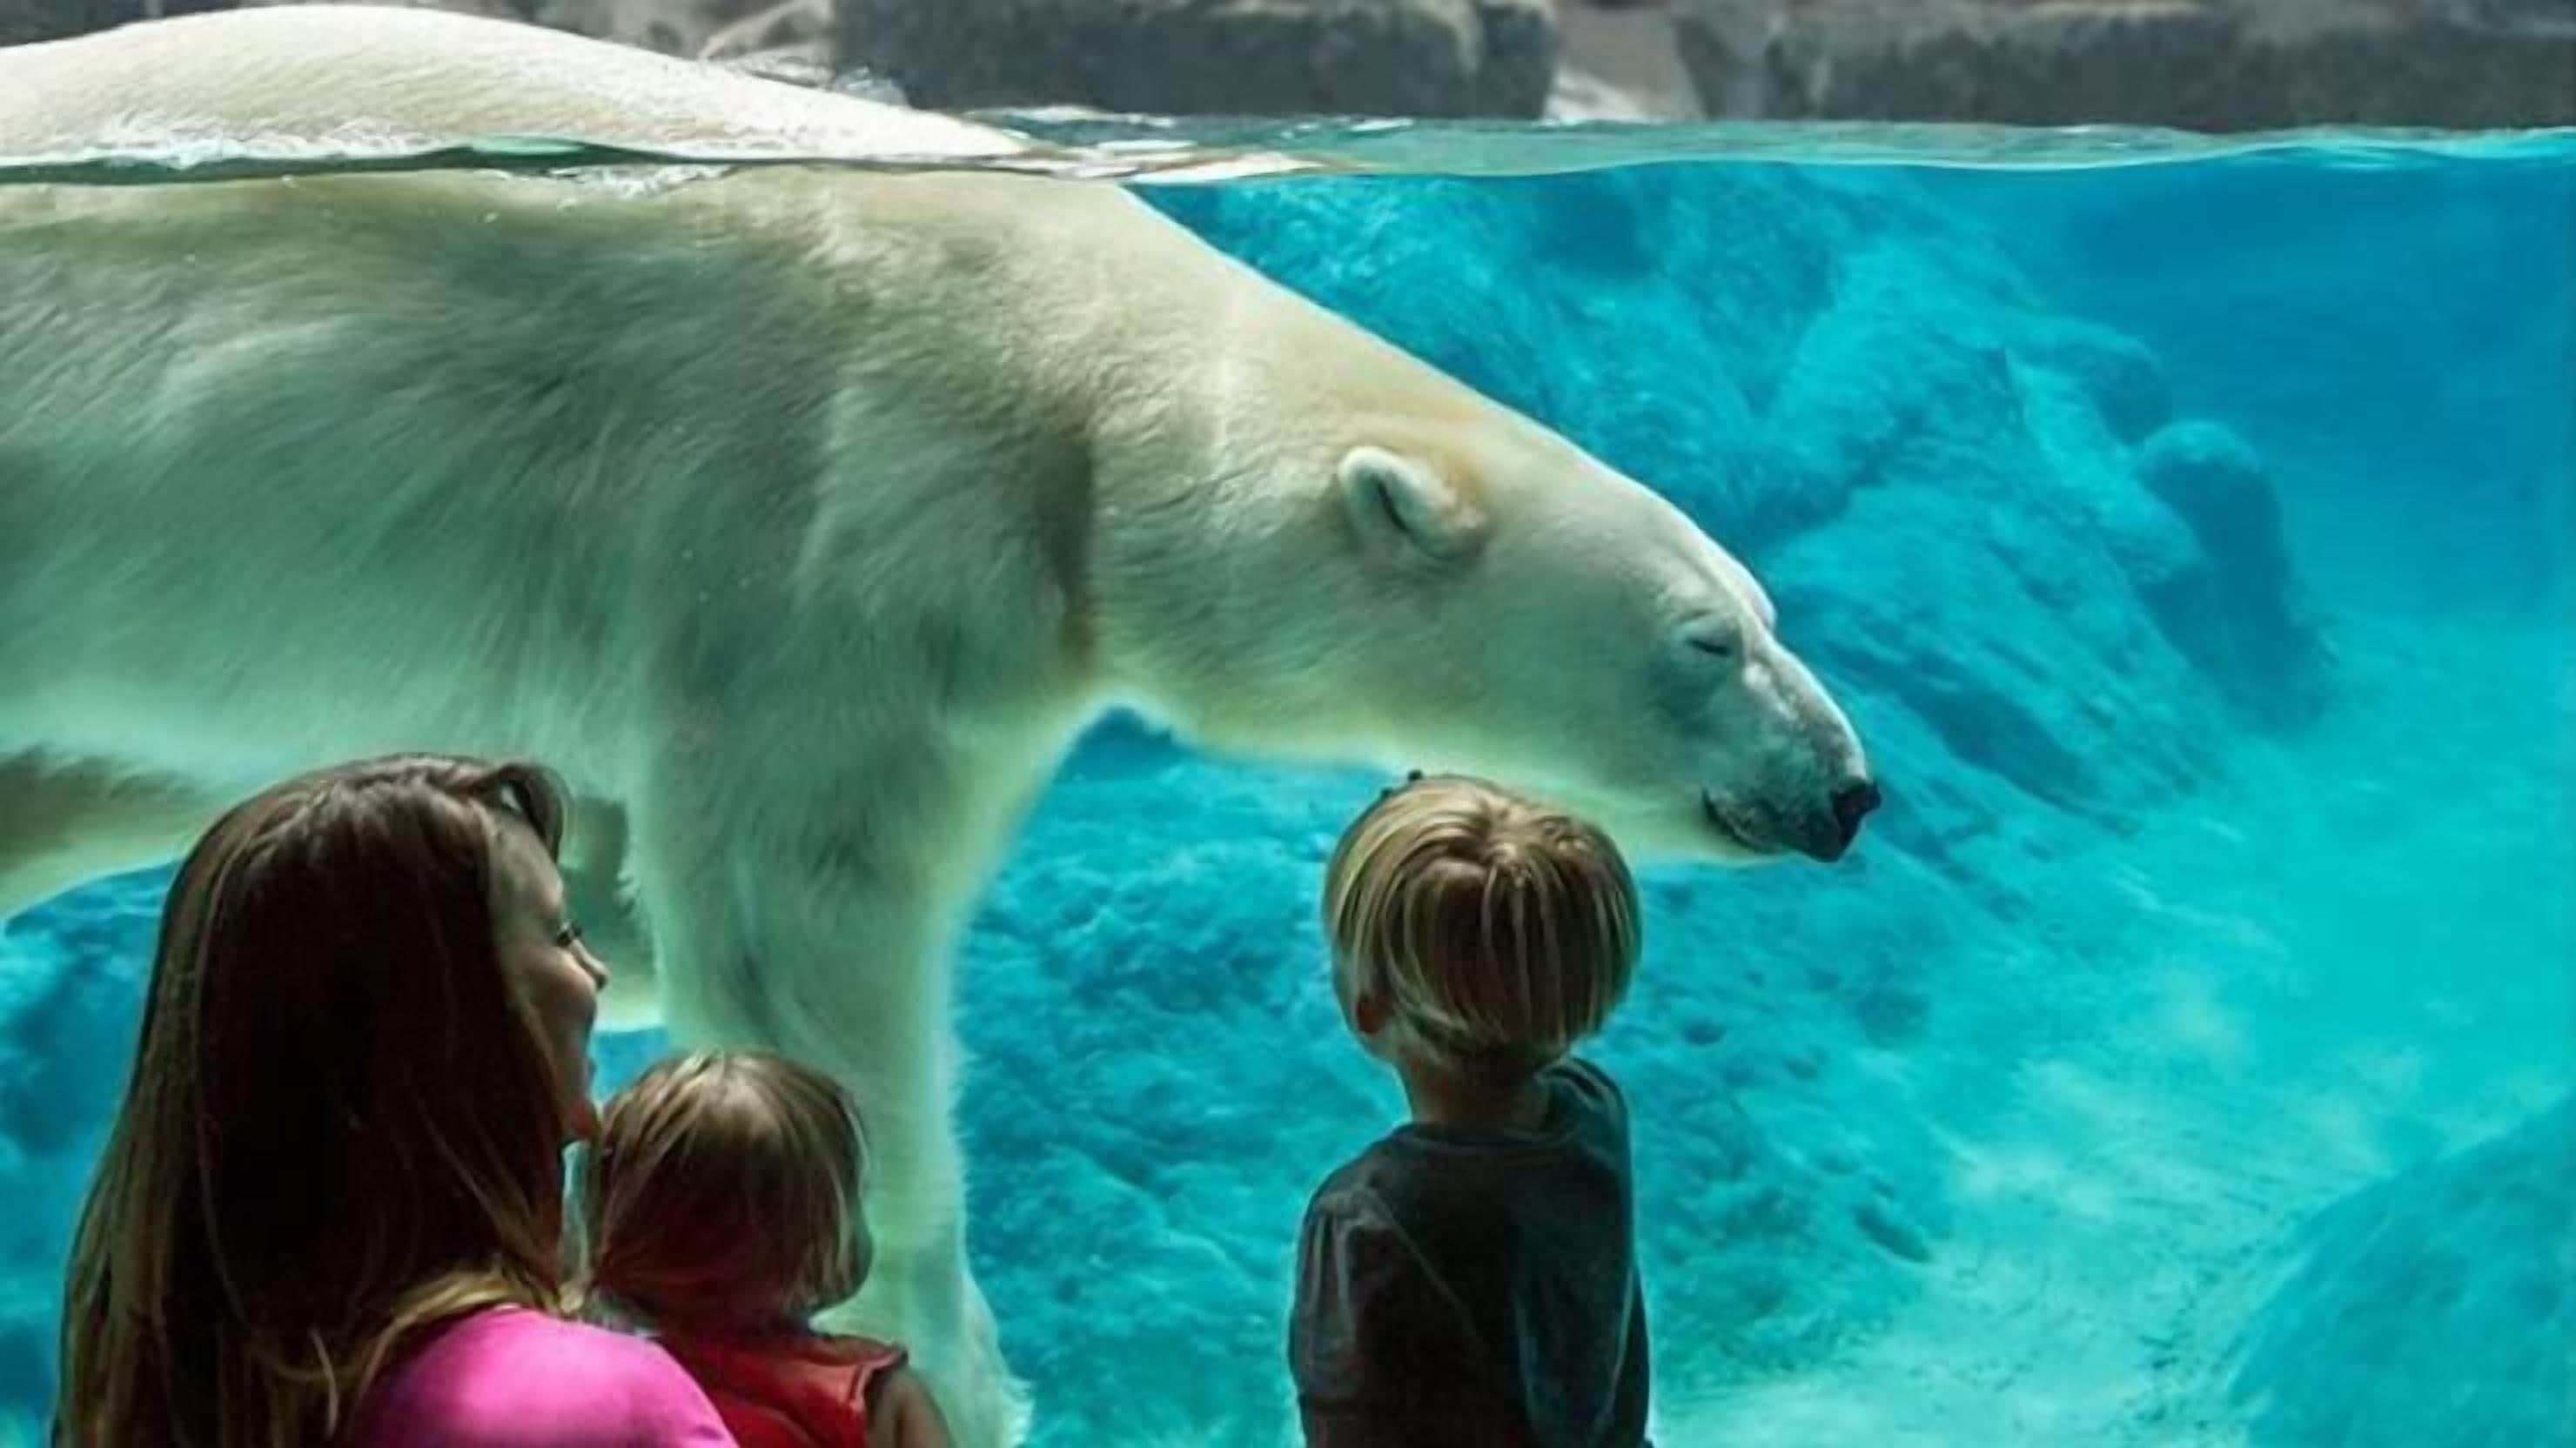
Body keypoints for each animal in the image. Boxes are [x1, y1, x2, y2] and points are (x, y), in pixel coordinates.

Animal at [0, 11, 1878, 1443]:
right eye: (1709, 635)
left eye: (1765, 611)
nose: (1850, 786)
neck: (1087, 380)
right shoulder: (859, 500)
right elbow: (803, 917)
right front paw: (945, 1348)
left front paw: (600, 892)